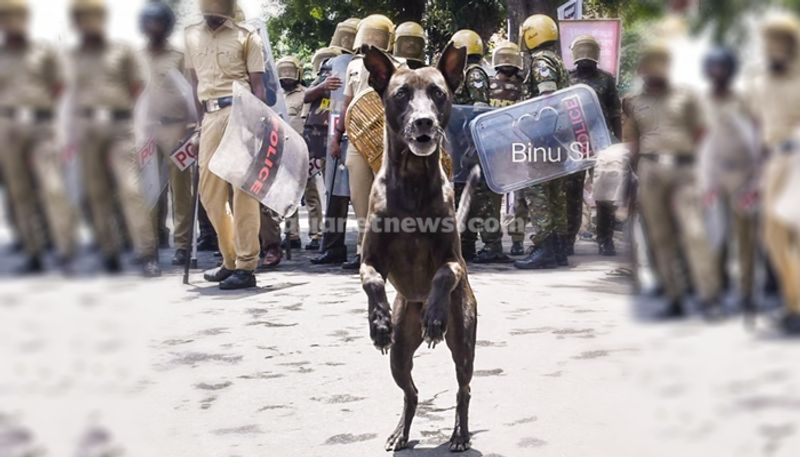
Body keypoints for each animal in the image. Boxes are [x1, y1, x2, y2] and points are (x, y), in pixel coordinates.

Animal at [360, 43, 482, 452]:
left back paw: (459, 434)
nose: (424, 122)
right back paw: (401, 432)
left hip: (464, 343)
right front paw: (379, 322)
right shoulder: (369, 260)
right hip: (399, 355)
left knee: (463, 389)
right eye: (401, 94)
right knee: (410, 392)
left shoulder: (454, 261)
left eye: (438, 93)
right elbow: (372, 281)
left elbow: (443, 274)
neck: (413, 180)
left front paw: (434, 316)